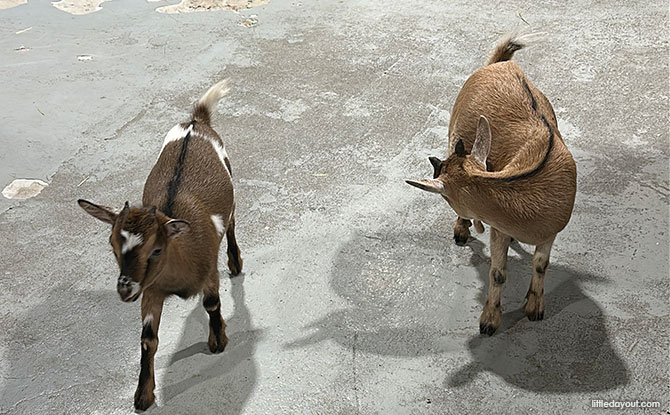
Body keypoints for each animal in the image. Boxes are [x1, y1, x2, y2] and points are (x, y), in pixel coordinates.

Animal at [78, 79, 243, 410]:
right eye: (112, 246)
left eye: (156, 249)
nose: (125, 289)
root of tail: (196, 121)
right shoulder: (151, 290)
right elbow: (147, 338)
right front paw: (143, 395)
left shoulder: (208, 271)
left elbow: (211, 303)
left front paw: (218, 341)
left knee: (232, 224)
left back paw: (235, 263)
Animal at [406, 32, 577, 336]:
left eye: (445, 196)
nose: (436, 164)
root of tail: (500, 64)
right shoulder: (499, 228)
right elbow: (497, 273)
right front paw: (489, 322)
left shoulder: (550, 232)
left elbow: (541, 265)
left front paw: (534, 307)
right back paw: (461, 231)